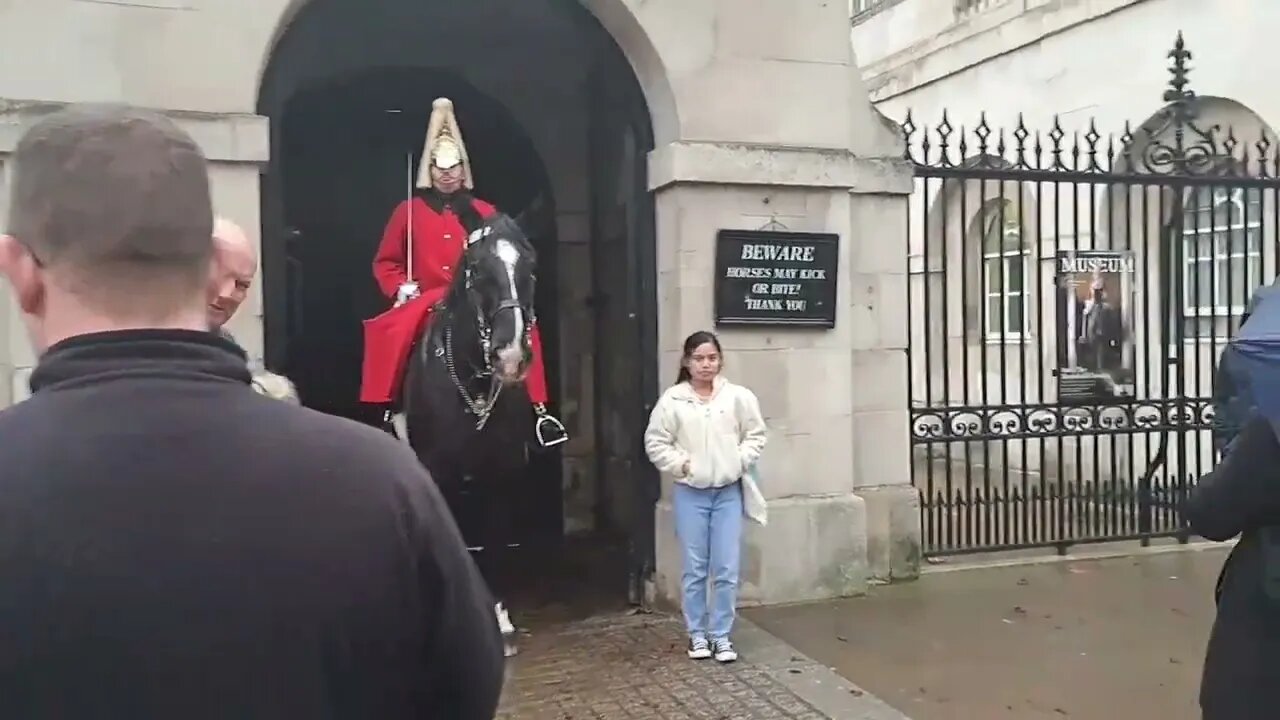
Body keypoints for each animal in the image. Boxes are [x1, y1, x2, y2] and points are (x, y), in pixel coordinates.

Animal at [399, 210, 550, 653]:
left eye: (530, 266)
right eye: (478, 270)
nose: (511, 355)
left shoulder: (500, 474)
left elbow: (495, 541)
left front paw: (500, 621)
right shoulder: (438, 475)